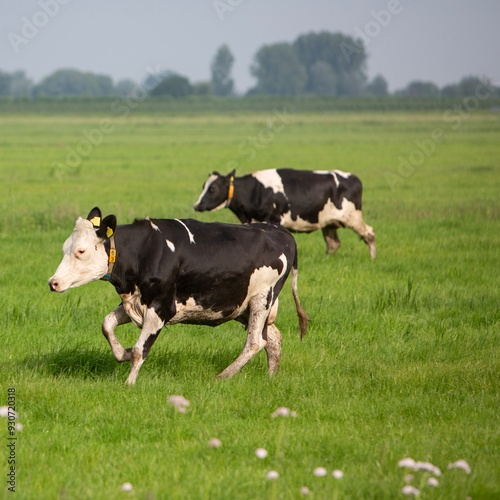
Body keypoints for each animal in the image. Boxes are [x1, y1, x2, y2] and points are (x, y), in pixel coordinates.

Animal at [48, 207, 306, 386]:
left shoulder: (161, 306)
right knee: (273, 337)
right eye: (64, 248)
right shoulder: (137, 301)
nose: (53, 282)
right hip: (241, 305)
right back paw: (271, 377)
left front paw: (129, 383)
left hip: (262, 298)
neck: (146, 251)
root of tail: (280, 232)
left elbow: (141, 349)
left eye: (81, 251)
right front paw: (123, 352)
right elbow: (107, 324)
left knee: (255, 342)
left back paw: (223, 376)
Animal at [193, 169, 376, 260]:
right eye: (203, 186)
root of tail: (353, 177)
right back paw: (326, 261)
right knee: (333, 244)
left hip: (352, 217)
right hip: (329, 223)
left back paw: (372, 259)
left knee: (369, 233)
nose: (197, 205)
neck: (255, 190)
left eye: (212, 188)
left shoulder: (274, 219)